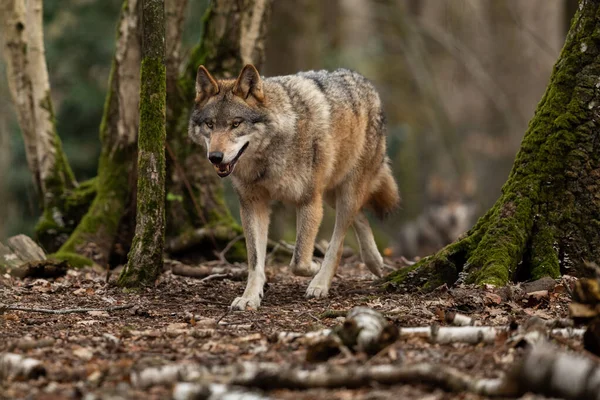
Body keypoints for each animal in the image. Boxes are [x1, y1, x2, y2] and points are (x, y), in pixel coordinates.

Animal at [190, 64, 400, 310]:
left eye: (236, 123)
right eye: (210, 124)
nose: (215, 157)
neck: (268, 158)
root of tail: (362, 80)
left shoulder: (309, 201)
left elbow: (298, 260)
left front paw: (314, 267)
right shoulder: (252, 205)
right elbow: (255, 261)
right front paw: (250, 297)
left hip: (343, 191)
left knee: (339, 239)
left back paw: (321, 283)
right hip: (330, 192)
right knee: (358, 216)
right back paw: (374, 262)